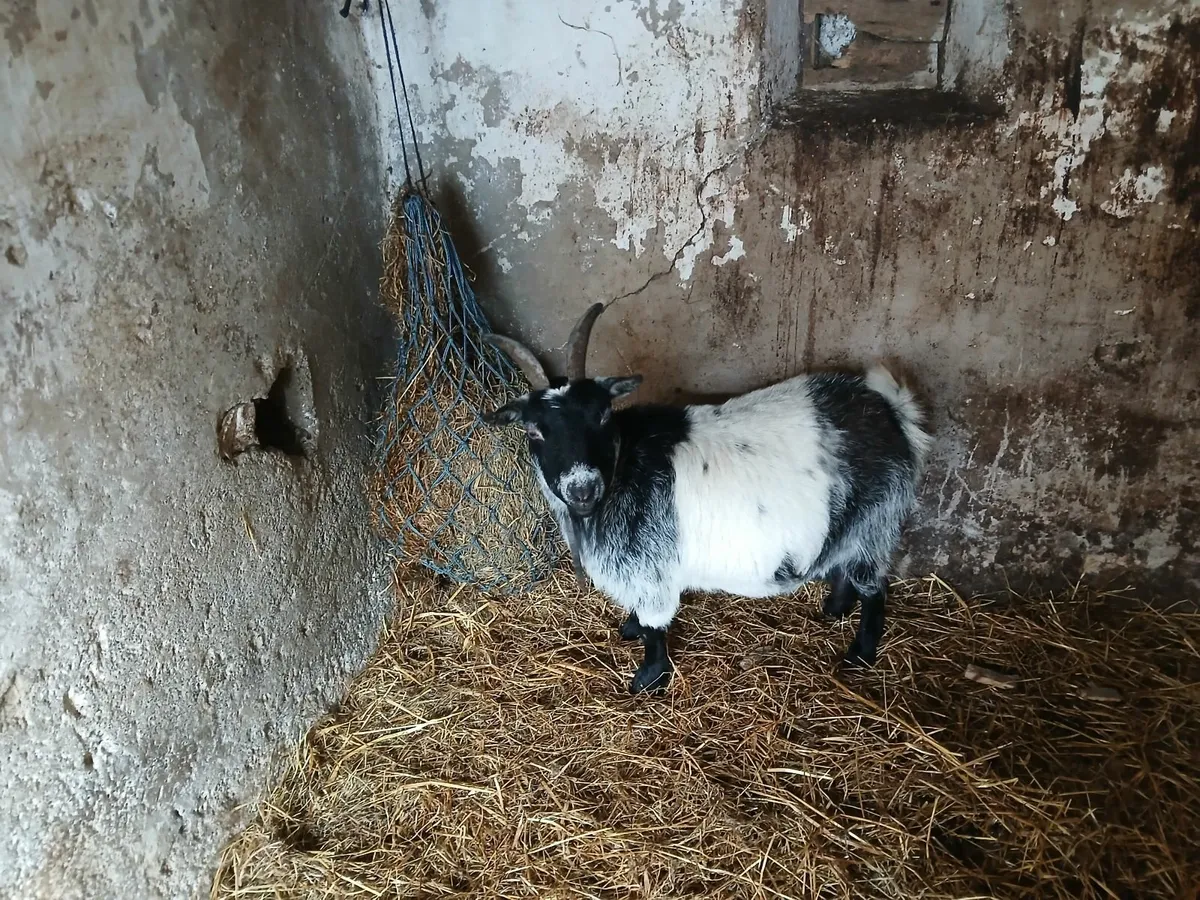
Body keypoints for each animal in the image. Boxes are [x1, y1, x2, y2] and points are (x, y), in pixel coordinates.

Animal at [483, 303, 932, 694]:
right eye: (533, 431)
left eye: (603, 414)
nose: (582, 488)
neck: (623, 468)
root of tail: (892, 411)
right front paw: (629, 629)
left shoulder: (652, 569)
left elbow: (656, 628)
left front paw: (649, 679)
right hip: (850, 523)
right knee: (842, 565)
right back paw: (834, 609)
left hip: (877, 519)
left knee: (874, 586)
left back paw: (860, 653)